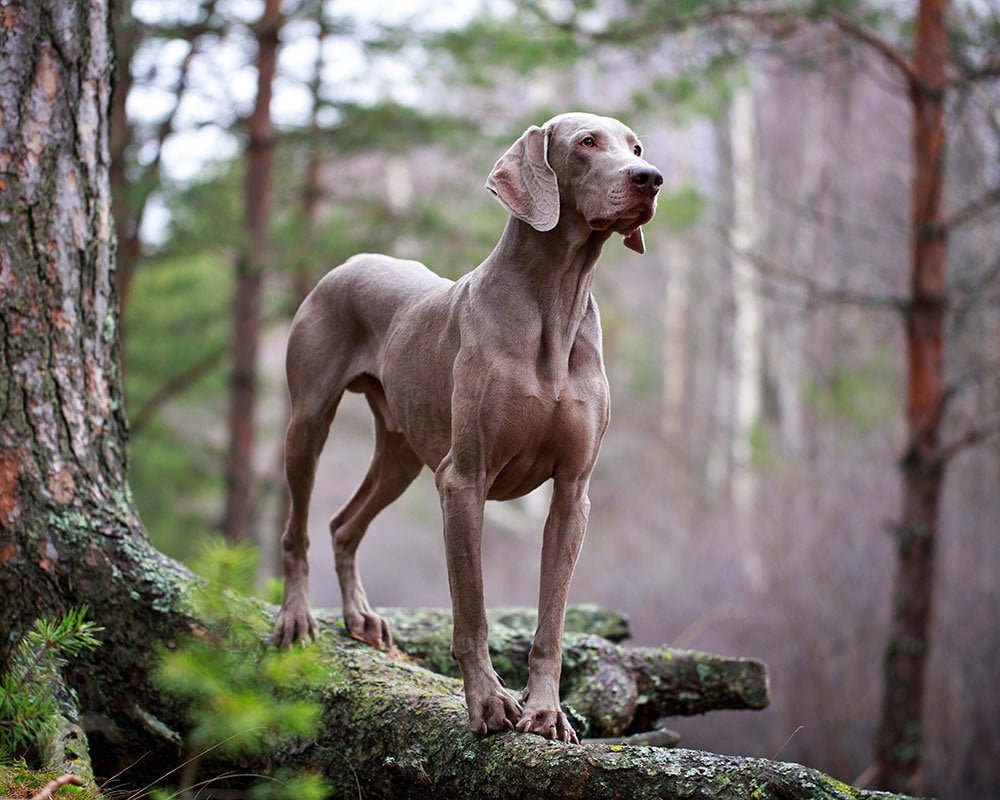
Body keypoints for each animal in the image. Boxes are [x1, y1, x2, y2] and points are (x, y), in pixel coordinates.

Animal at [278, 112, 660, 744]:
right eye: (586, 142)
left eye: (635, 147)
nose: (650, 178)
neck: (555, 302)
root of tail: (351, 261)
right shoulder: (463, 481)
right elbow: (472, 612)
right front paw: (487, 703)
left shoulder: (572, 493)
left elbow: (551, 622)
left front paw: (545, 711)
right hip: (308, 422)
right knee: (299, 529)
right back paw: (296, 617)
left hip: (401, 455)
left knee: (342, 524)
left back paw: (360, 617)